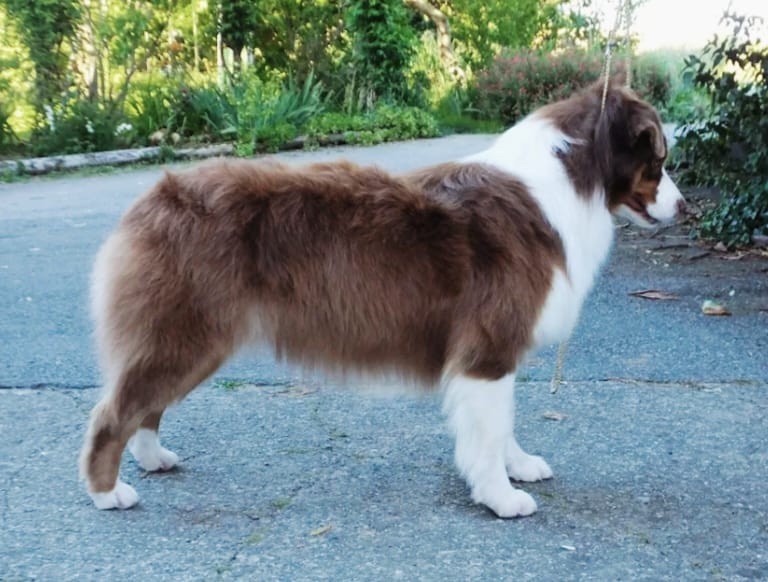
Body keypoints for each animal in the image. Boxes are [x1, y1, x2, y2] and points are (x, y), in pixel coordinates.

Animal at [81, 78, 688, 520]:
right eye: (658, 159)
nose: (686, 208)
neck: (565, 181)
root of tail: (151, 198)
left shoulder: (497, 353)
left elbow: (505, 424)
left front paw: (517, 467)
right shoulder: (488, 349)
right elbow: (490, 429)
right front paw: (500, 497)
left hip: (190, 338)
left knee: (145, 406)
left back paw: (153, 459)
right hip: (184, 334)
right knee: (113, 411)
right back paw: (108, 493)